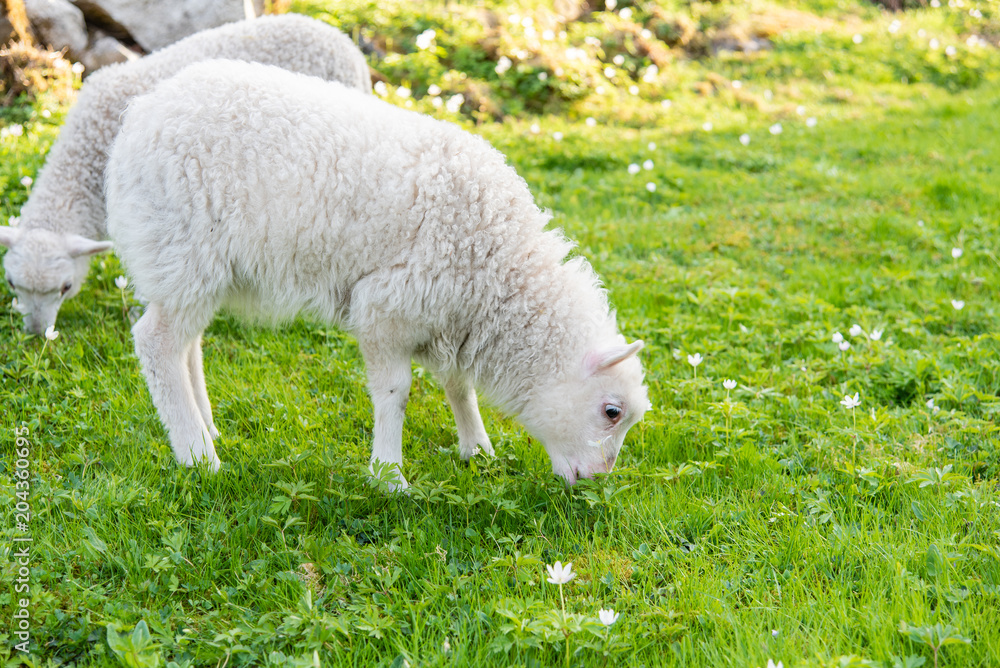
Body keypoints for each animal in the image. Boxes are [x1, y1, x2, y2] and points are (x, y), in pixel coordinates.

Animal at [105, 59, 649, 489]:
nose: (598, 481)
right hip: (182, 249)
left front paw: (476, 448)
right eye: (612, 412)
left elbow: (458, 384)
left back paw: (207, 427)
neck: (497, 260)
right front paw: (390, 476)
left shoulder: (448, 314)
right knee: (157, 344)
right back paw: (198, 455)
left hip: (192, 267)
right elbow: (396, 395)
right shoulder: (388, 308)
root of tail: (140, 113)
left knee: (188, 345)